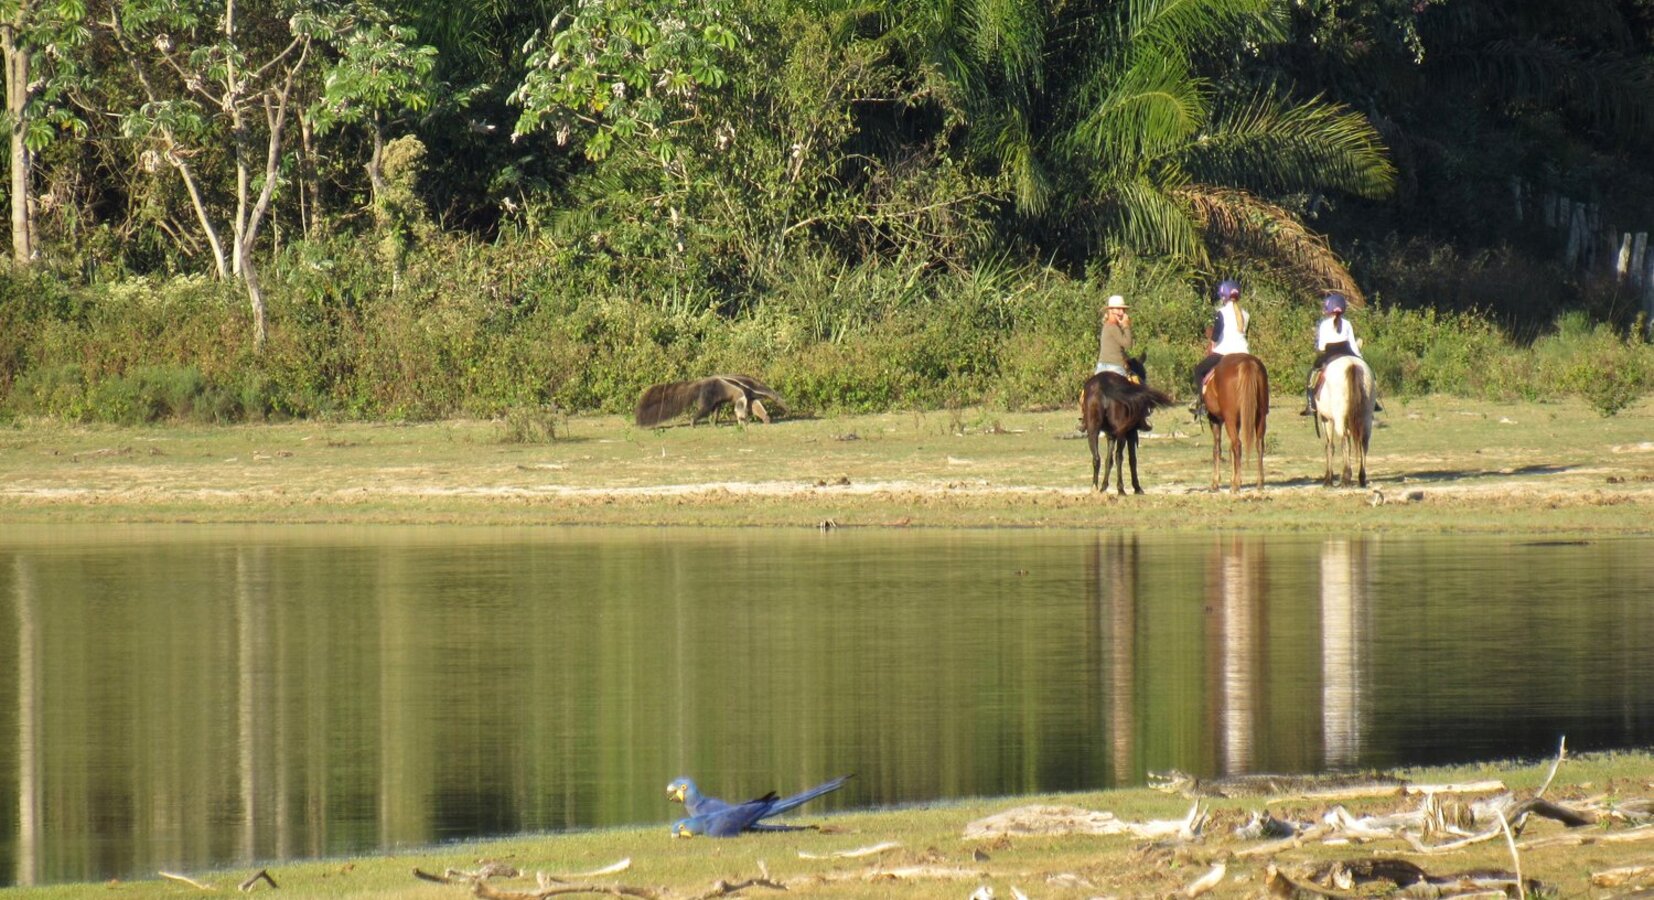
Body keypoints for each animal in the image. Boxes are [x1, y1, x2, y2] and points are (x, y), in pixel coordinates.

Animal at [1204, 354, 1263, 493]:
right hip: (1260, 415)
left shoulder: (1215, 420)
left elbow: (1217, 449)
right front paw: (1234, 478)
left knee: (1237, 445)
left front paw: (1216, 482)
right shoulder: (1238, 422)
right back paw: (1259, 483)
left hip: (1229, 419)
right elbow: (1230, 449)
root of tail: (1247, 362)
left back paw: (1235, 487)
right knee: (1259, 444)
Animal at [1309, 355, 1376, 489]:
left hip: (1339, 418)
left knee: (1345, 442)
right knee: (1364, 443)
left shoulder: (1326, 419)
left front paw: (1328, 479)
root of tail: (1352, 364)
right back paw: (1362, 478)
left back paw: (1346, 477)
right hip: (1366, 417)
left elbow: (1329, 446)